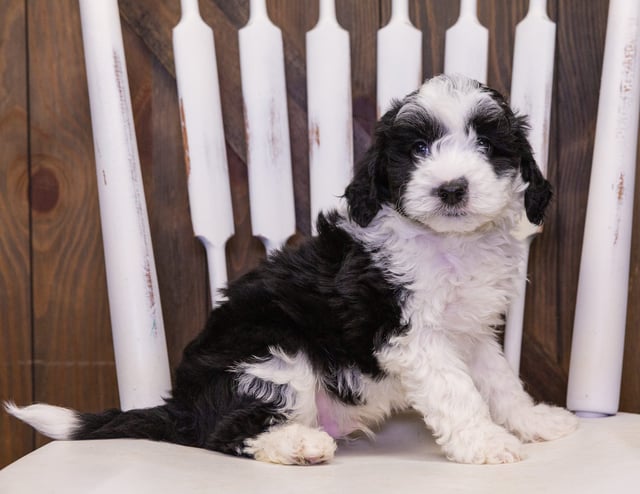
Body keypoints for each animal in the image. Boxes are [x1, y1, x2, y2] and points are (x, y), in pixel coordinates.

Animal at [5, 73, 576, 464]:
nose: (452, 189)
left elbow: (500, 382)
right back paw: (299, 443)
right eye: (417, 148)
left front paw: (532, 421)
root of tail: (181, 405)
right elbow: (457, 392)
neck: (447, 242)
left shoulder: (470, 332)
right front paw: (485, 444)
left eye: (488, 146)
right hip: (272, 353)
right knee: (226, 434)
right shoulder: (407, 332)